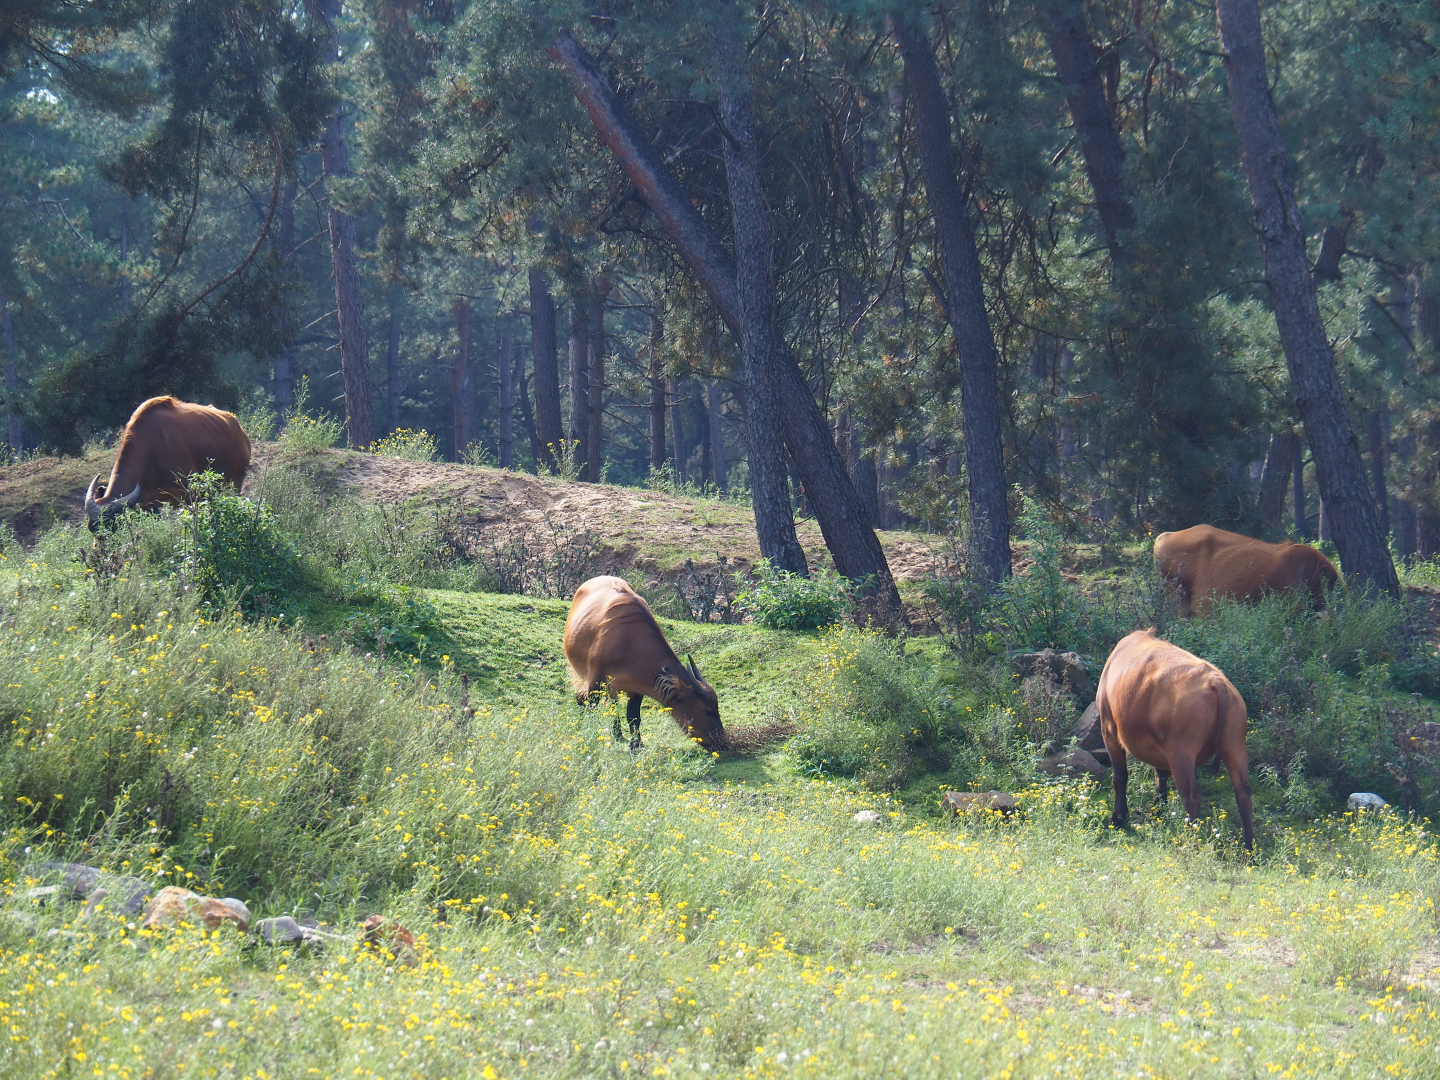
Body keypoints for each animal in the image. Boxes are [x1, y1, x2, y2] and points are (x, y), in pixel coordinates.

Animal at [85, 397, 251, 531]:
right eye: (92, 529)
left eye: (112, 526)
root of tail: (239, 429)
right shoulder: (146, 503)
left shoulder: (190, 495)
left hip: (235, 484)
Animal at [564, 575, 724, 751]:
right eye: (708, 711)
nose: (722, 742)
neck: (629, 642)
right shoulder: (595, 682)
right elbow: (591, 707)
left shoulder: (636, 688)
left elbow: (633, 717)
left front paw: (636, 745)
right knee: (582, 698)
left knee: (614, 703)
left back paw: (617, 733)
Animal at [1096, 629, 1254, 850]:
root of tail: (1216, 681)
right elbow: (1160, 774)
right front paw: (1158, 809)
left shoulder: (1109, 730)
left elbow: (1120, 777)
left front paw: (1118, 819)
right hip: (1235, 745)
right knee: (1243, 793)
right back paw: (1249, 848)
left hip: (1181, 753)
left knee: (1191, 794)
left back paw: (1188, 841)